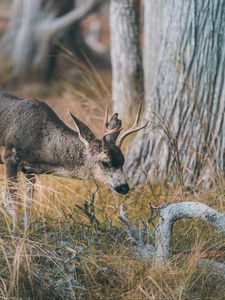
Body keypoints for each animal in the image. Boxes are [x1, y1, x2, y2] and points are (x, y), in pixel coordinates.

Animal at [0, 91, 148, 230]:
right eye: (105, 162)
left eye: (123, 160)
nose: (124, 187)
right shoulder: (11, 156)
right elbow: (13, 199)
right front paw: (16, 234)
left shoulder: (29, 169)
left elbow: (28, 202)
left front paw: (26, 231)